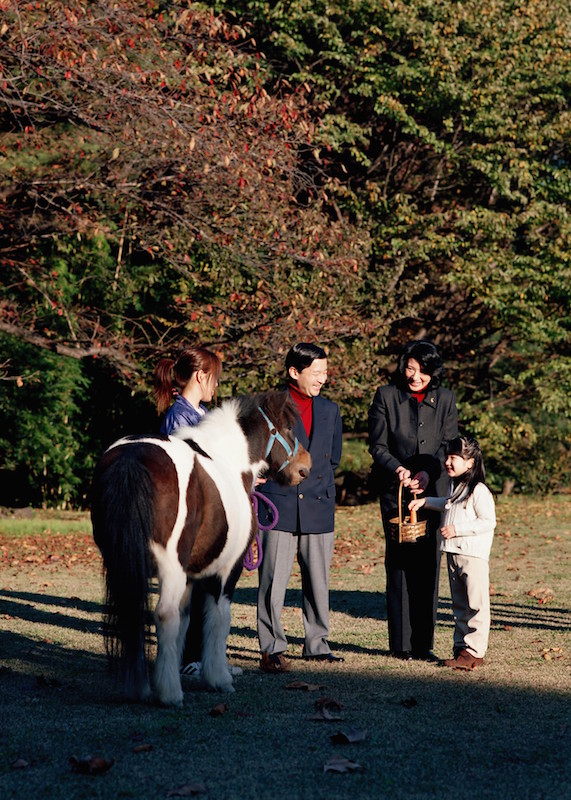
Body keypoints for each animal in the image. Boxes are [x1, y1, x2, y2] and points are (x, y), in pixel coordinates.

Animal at [91, 390, 310, 708]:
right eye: (290, 427)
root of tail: (132, 459)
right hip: (169, 568)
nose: (305, 466)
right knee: (165, 615)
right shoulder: (226, 571)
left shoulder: (189, 578)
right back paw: (170, 694)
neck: (229, 461)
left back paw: (138, 688)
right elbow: (217, 619)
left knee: (133, 614)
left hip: (123, 566)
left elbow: (186, 623)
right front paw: (218, 678)